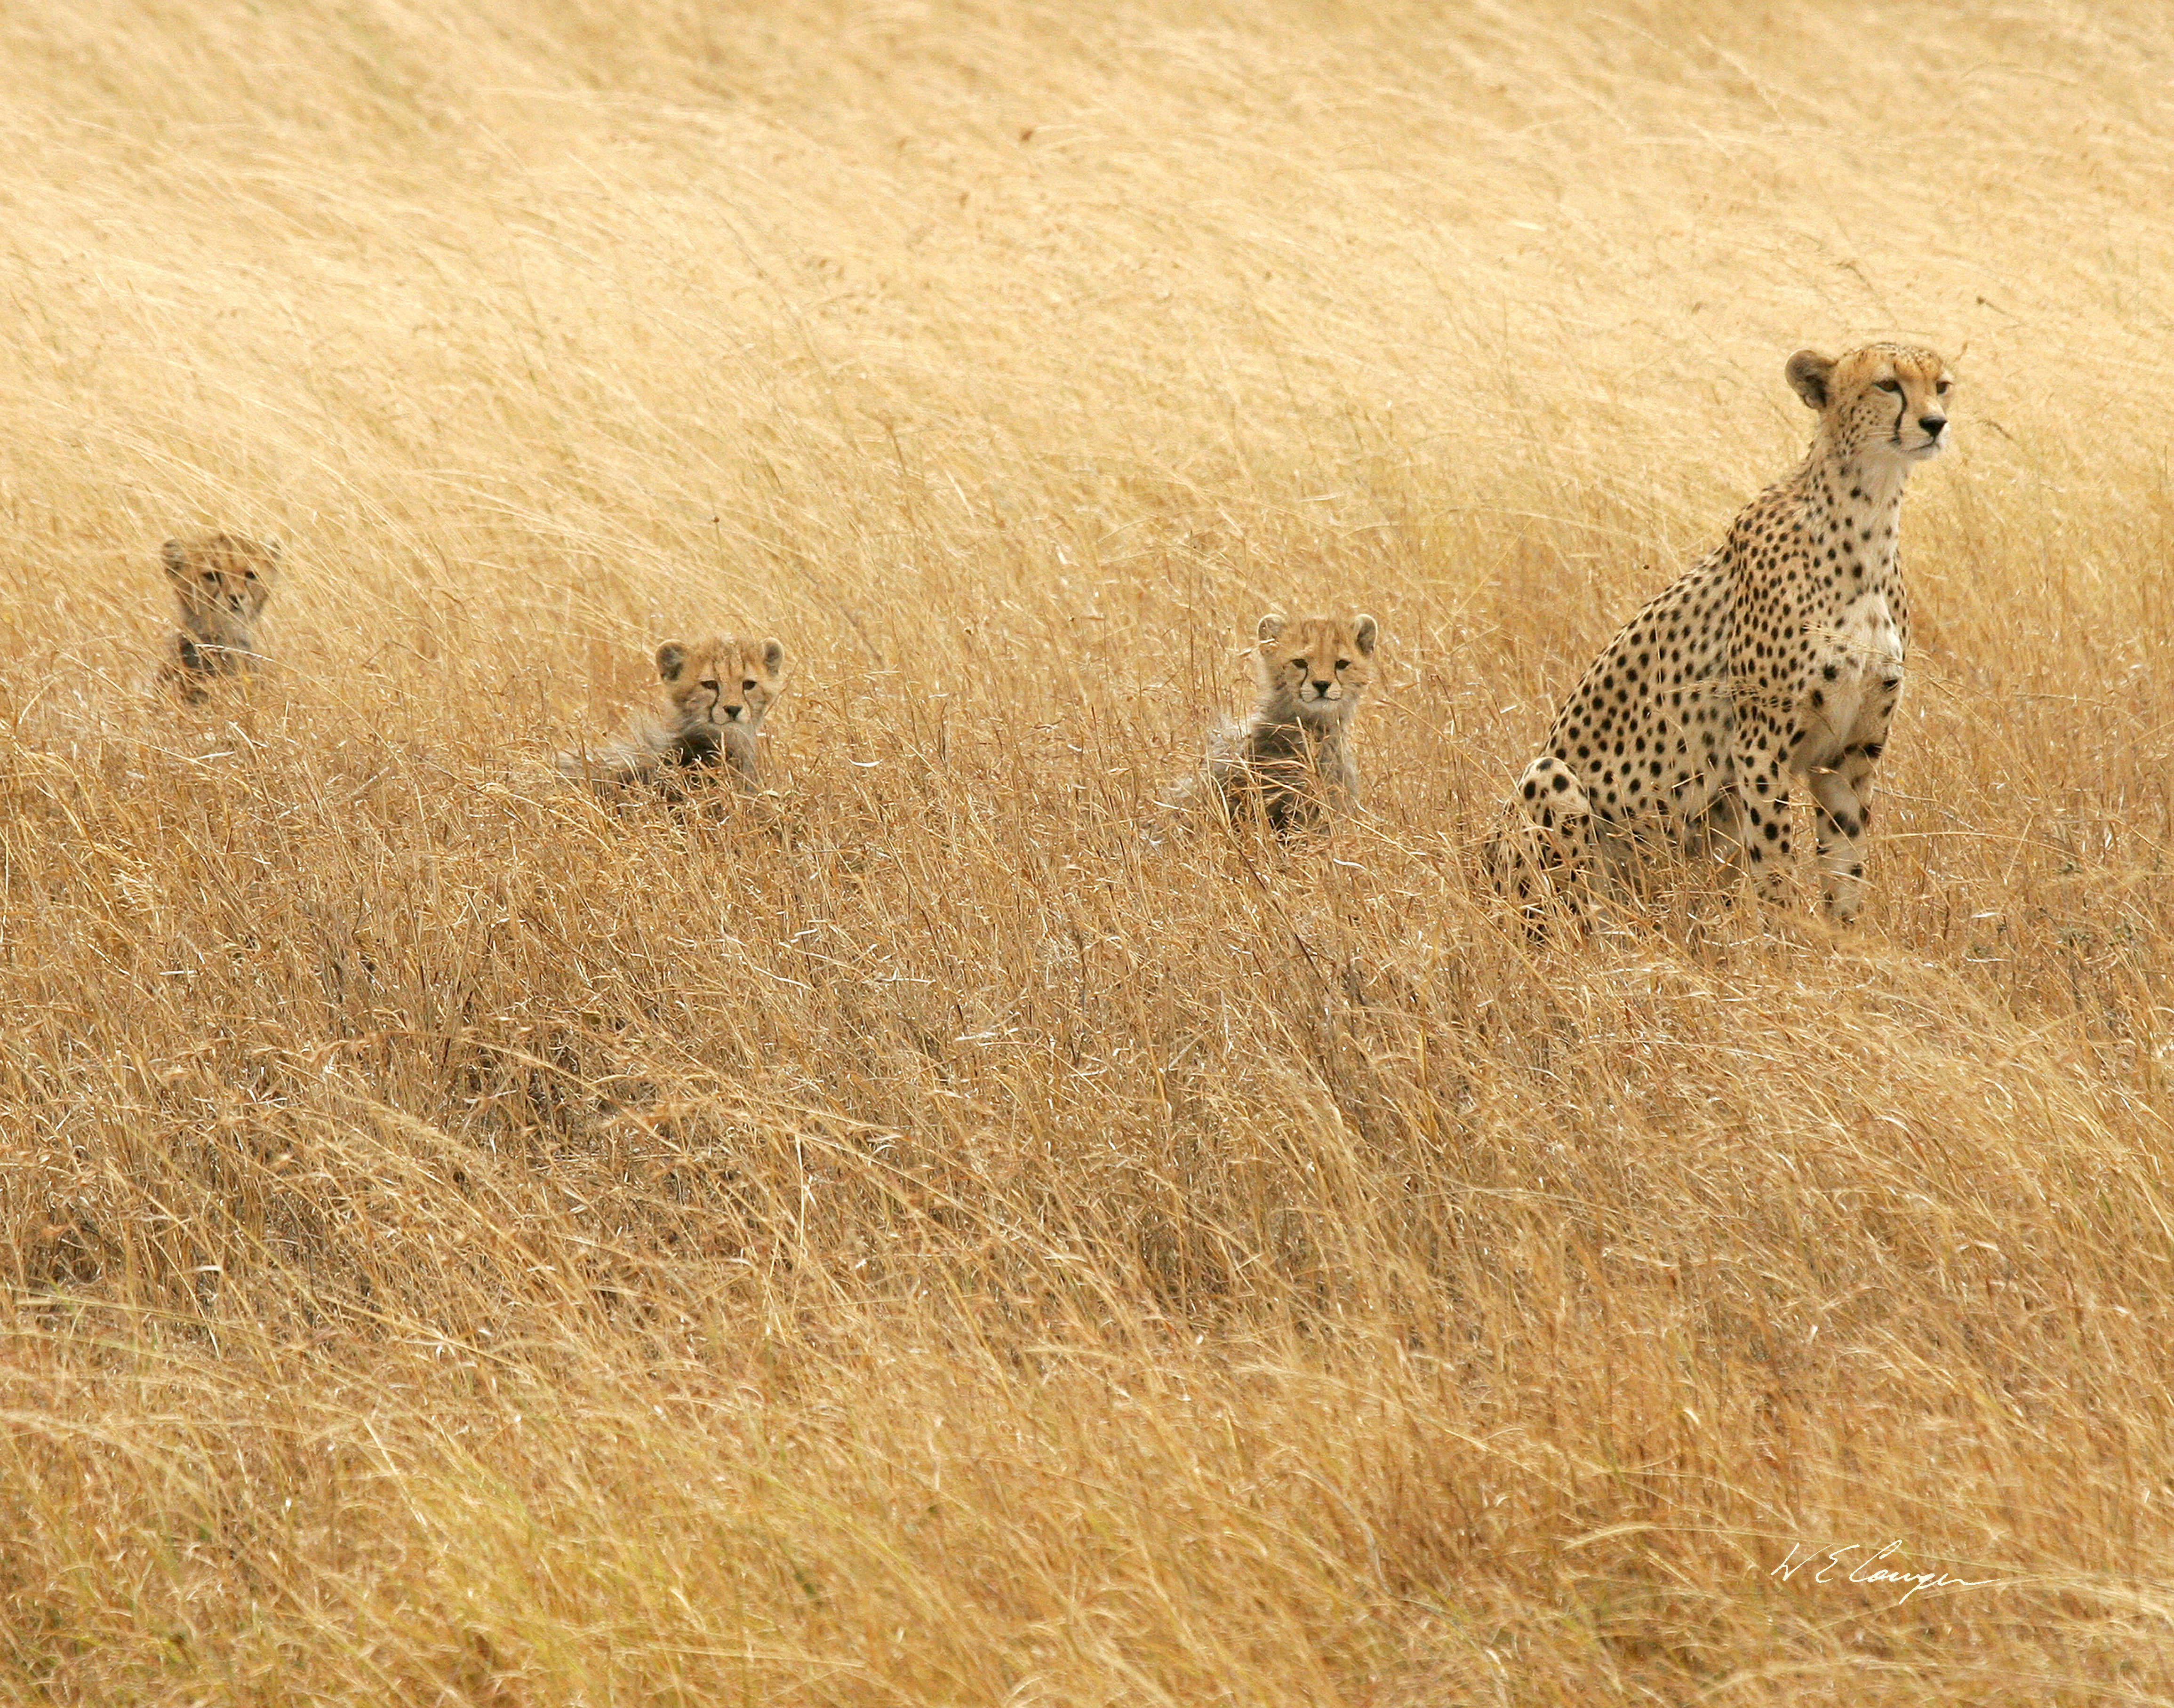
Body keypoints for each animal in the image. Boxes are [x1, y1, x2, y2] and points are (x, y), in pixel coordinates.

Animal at [1488, 342, 1954, 926]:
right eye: (1888, 385)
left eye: (1943, 385)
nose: (1935, 423)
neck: (1868, 515)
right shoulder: (1761, 748)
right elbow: (1775, 866)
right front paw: (1785, 940)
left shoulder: (1850, 754)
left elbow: (1846, 866)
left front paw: (1845, 939)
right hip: (1550, 784)